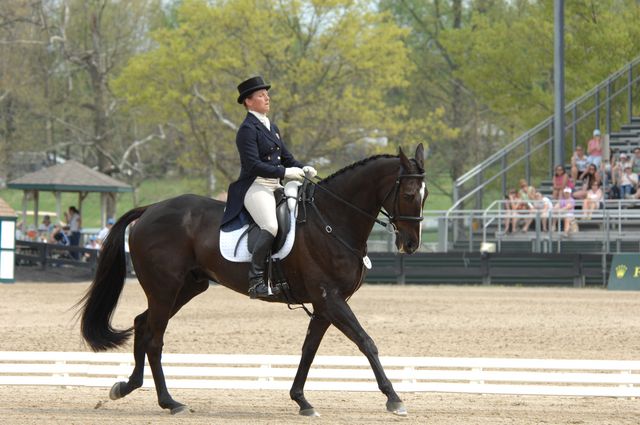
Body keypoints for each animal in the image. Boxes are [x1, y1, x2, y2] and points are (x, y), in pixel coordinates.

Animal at [77, 144, 428, 416]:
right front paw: (394, 399)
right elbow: (366, 342)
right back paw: (170, 402)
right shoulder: (330, 298)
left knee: (142, 323)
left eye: (424, 196)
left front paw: (301, 401)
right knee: (154, 337)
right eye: (410, 193)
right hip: (165, 288)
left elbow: (309, 349)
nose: (410, 245)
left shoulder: (324, 303)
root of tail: (150, 209)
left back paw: (127, 386)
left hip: (187, 287)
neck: (331, 220)